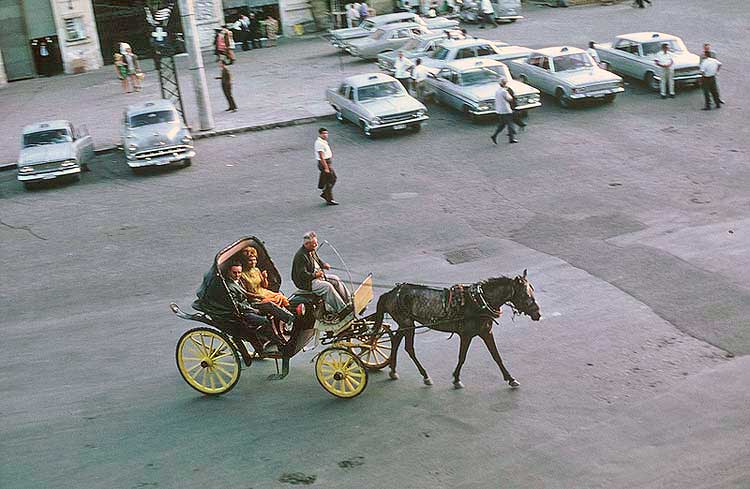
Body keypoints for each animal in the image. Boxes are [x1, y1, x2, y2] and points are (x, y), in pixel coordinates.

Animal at [374, 268, 540, 386]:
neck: (479, 302)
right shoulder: (466, 335)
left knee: (396, 340)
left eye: (532, 291)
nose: (538, 314)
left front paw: (510, 378)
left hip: (404, 324)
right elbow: (462, 357)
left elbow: (496, 356)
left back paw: (393, 370)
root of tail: (391, 293)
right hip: (408, 324)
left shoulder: (486, 332)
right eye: (525, 295)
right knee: (409, 348)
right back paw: (425, 376)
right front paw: (456, 379)